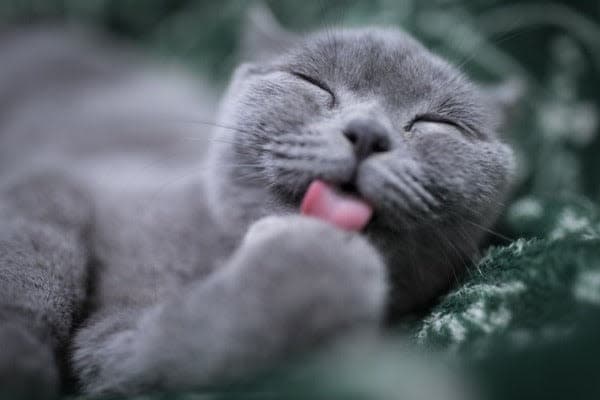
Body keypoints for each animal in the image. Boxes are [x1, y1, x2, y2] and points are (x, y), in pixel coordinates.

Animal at [0, 7, 516, 398]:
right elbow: (33, 265)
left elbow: (183, 345)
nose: (368, 133)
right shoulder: (70, 181)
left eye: (436, 124)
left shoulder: (119, 343)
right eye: (312, 83)